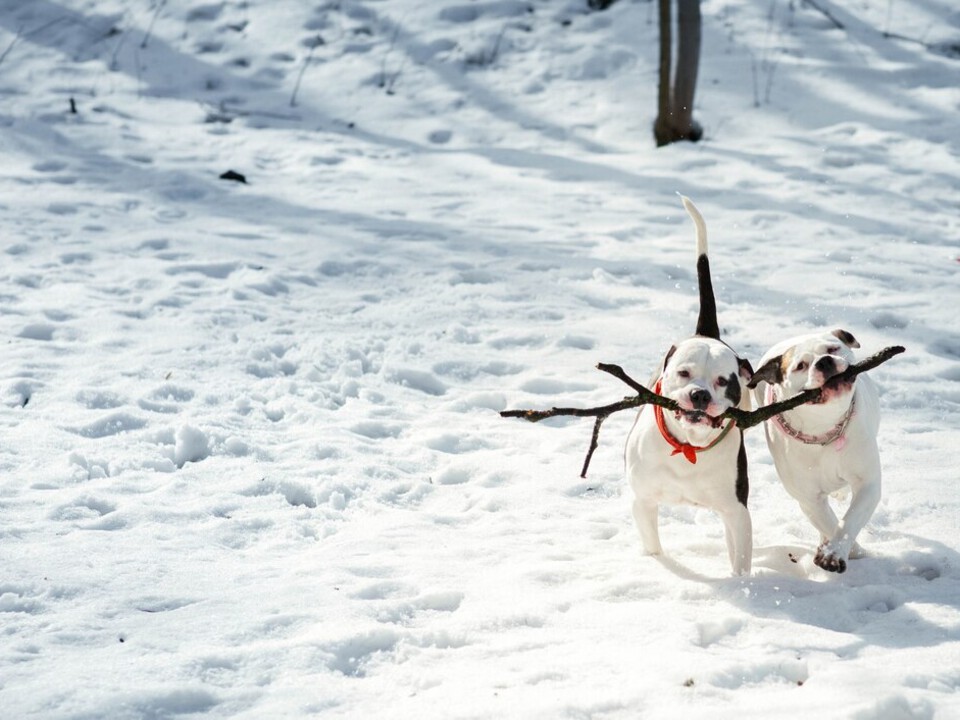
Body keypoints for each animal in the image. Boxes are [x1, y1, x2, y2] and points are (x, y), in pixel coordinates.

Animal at [624, 200, 756, 576]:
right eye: (683, 373)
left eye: (724, 381)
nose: (700, 395)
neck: (688, 448)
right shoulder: (643, 502)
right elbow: (654, 547)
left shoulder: (737, 513)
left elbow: (740, 561)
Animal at [752, 328, 880, 572]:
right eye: (800, 366)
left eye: (833, 348)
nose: (825, 361)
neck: (824, 429)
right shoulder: (809, 498)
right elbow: (829, 522)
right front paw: (844, 550)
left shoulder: (867, 483)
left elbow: (850, 520)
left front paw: (835, 551)